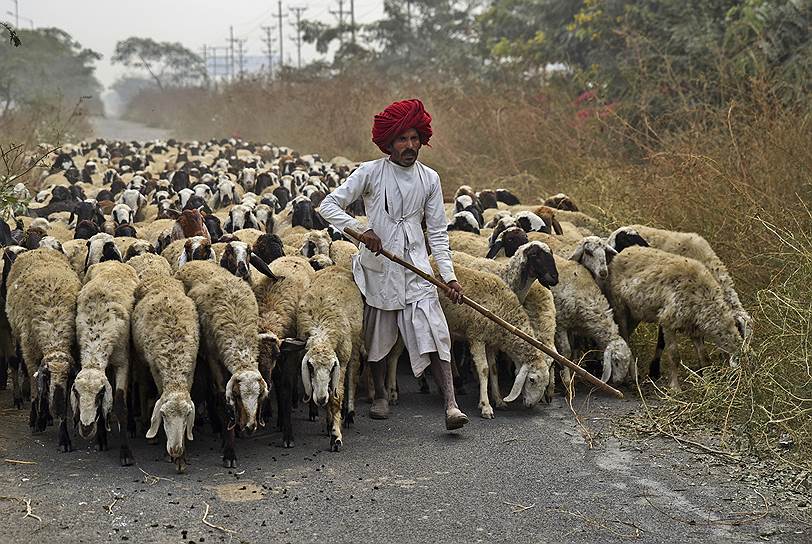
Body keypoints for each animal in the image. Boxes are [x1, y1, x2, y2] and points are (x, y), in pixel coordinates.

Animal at [4, 248, 81, 450]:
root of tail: (40, 249)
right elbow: (35, 391)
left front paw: (63, 436)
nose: (58, 403)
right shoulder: (31, 355)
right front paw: (35, 419)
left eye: (68, 378)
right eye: (49, 376)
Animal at [132, 255, 200, 472]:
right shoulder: (155, 368)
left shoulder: (191, 368)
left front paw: (181, 458)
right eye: (163, 415)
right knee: (142, 387)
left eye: (187, 415)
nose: (176, 449)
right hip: (139, 358)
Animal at [175, 262, 270, 466]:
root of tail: (193, 263)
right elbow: (220, 396)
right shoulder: (213, 357)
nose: (250, 427)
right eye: (238, 396)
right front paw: (229, 451)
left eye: (259, 396)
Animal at [296, 266, 364, 450]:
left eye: (332, 367)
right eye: (310, 366)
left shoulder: (342, 359)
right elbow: (328, 395)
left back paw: (349, 414)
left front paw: (336, 436)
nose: (320, 399)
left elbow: (336, 398)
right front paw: (330, 423)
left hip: (354, 345)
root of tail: (336, 267)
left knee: (353, 377)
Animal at [604, 246, 744, 392]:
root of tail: (621, 254)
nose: (737, 383)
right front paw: (675, 388)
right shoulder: (668, 322)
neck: (704, 296)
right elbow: (674, 356)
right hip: (619, 306)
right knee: (624, 337)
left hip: (633, 312)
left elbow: (704, 357)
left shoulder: (694, 328)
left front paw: (707, 381)